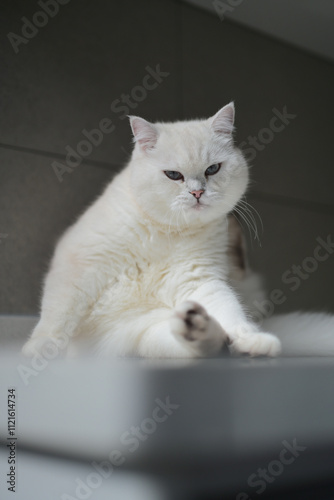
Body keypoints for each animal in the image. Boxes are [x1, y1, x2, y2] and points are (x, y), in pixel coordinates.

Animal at [22, 103, 332, 358]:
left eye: (212, 169)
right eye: (173, 175)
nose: (197, 192)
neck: (166, 230)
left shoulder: (199, 280)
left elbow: (231, 312)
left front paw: (253, 340)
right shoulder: (79, 264)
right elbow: (58, 313)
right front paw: (38, 351)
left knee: (211, 343)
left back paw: (203, 328)